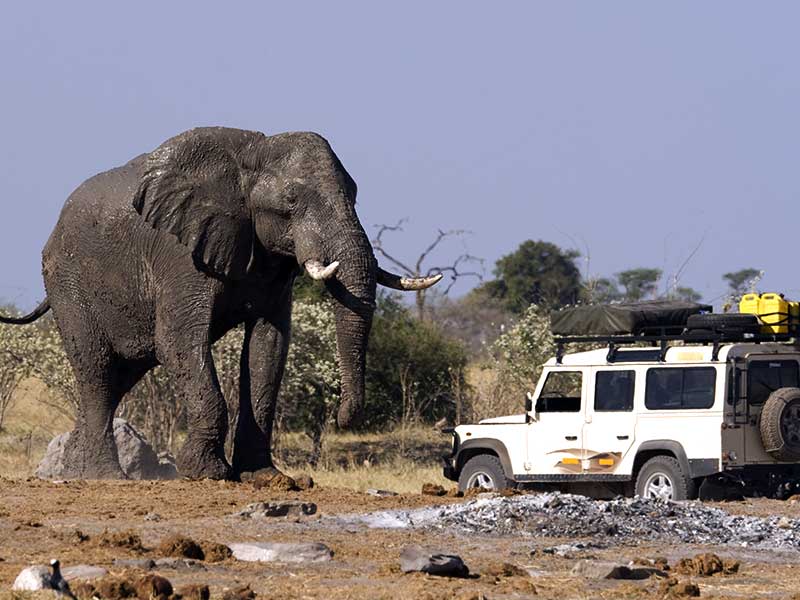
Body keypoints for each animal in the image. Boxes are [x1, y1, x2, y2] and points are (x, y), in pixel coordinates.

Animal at [0, 129, 440, 480]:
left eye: (355, 194)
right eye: (292, 199)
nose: (342, 417)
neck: (251, 156)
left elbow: (268, 348)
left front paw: (265, 477)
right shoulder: (179, 253)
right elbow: (178, 340)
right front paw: (208, 473)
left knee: (119, 378)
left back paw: (72, 471)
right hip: (68, 283)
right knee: (97, 372)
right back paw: (102, 476)